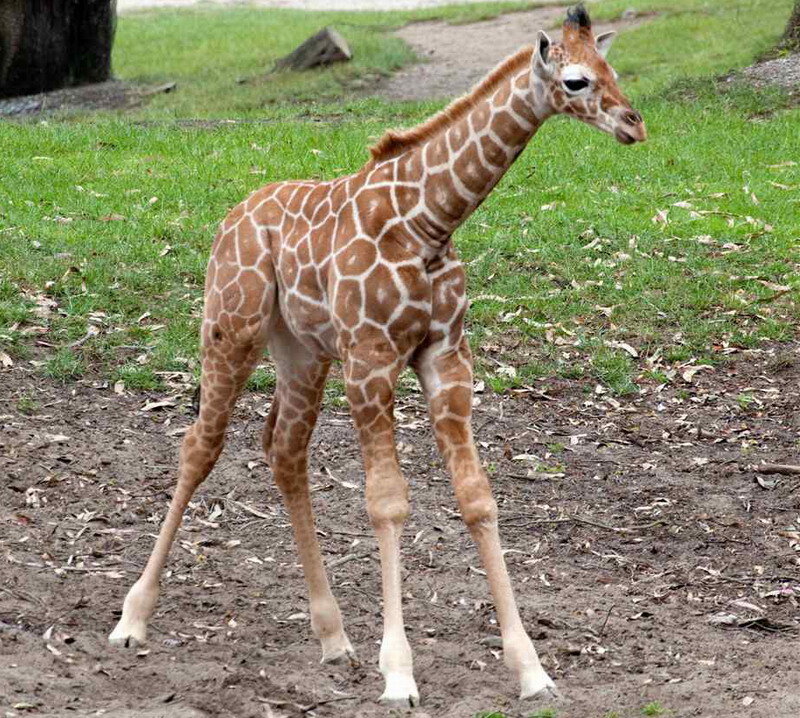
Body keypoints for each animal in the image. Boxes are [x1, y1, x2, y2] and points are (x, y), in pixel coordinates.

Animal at [109, 4, 645, 707]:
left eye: (613, 66)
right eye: (577, 79)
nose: (634, 123)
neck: (429, 222)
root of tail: (231, 217)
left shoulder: (446, 358)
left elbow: (477, 497)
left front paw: (531, 670)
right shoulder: (370, 359)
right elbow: (387, 501)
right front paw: (400, 674)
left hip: (302, 352)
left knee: (285, 451)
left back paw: (333, 635)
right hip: (230, 327)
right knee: (200, 445)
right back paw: (132, 620)